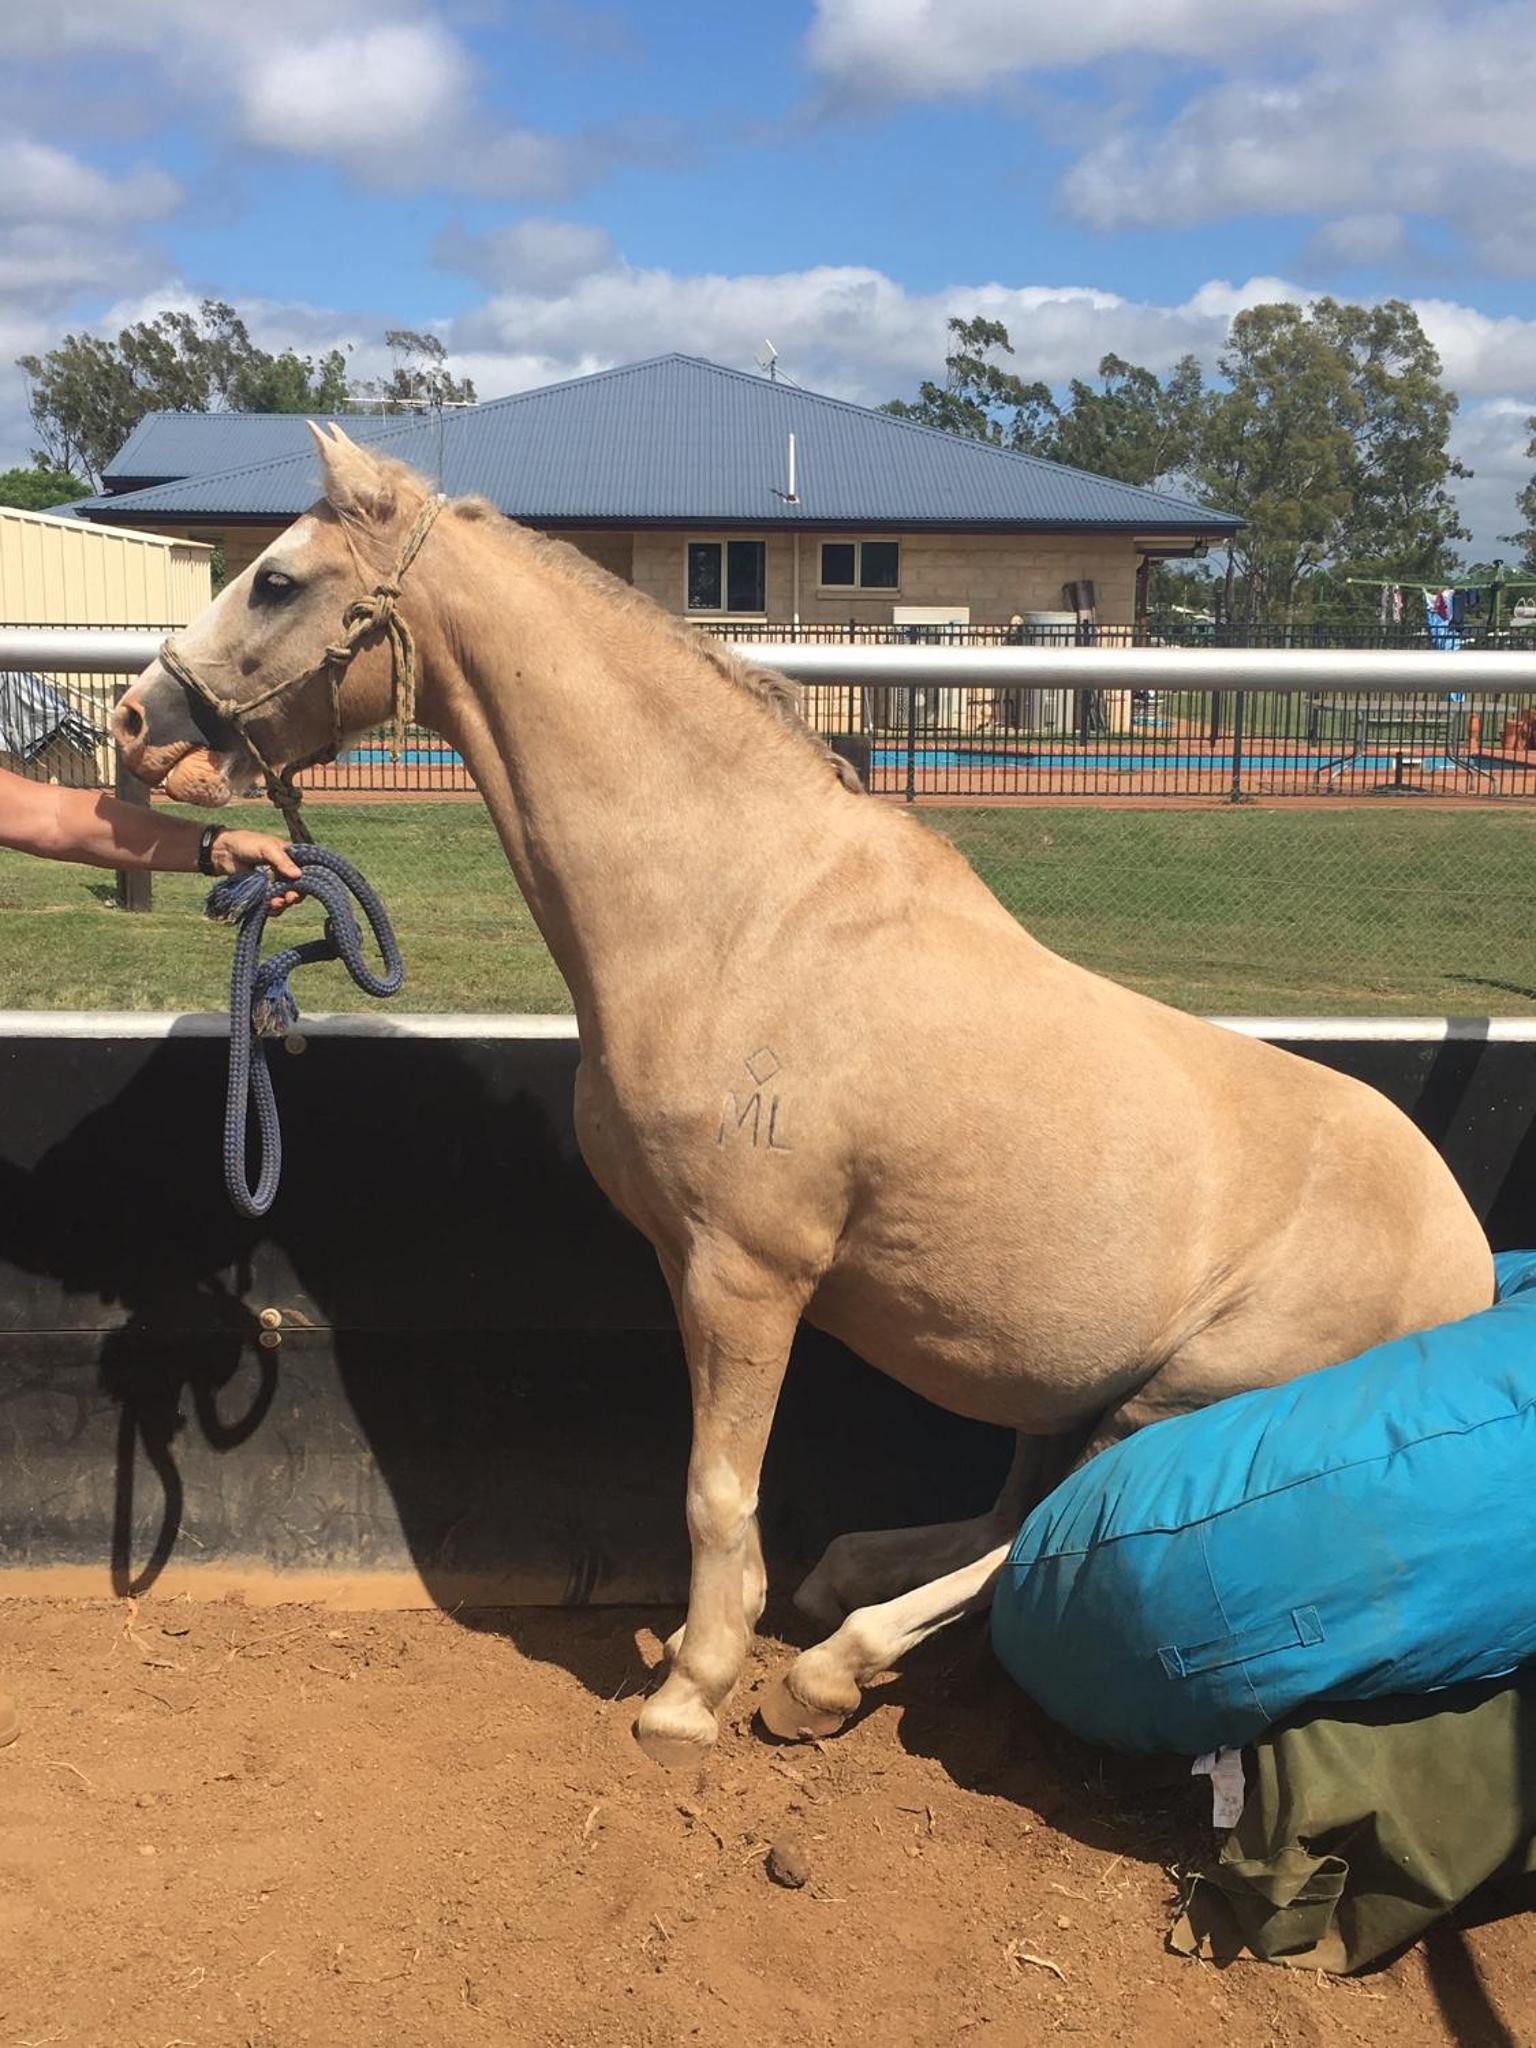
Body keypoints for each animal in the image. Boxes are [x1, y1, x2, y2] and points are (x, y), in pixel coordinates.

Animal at [113, 426, 1494, 1768]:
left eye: (277, 579)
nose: (135, 720)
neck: (744, 913)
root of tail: (1470, 1257)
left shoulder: (748, 1271)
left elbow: (717, 1486)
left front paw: (691, 1691)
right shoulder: (688, 1264)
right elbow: (722, 1479)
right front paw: (705, 1637)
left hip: (1184, 1390)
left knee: (1053, 1522)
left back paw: (830, 1671)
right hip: (1068, 1373)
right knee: (1019, 1502)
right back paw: (848, 1581)